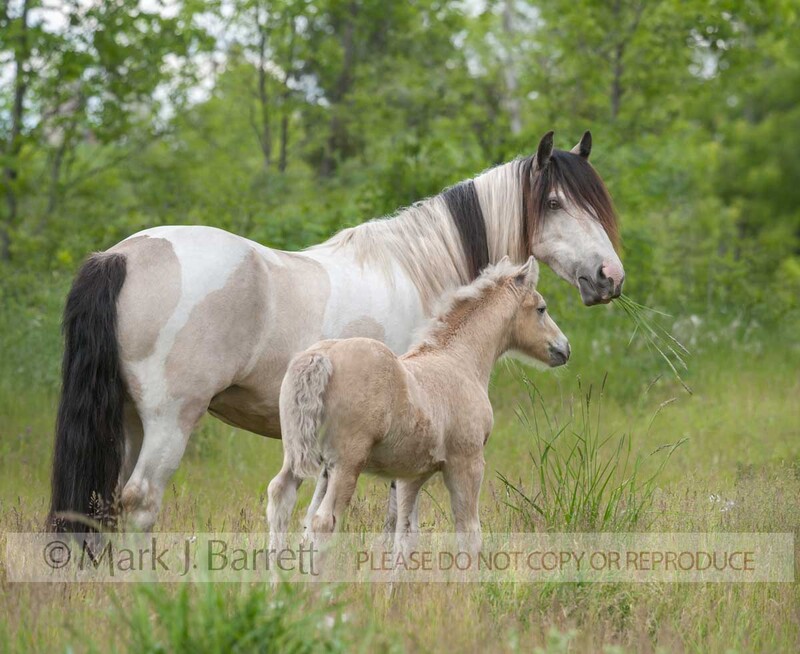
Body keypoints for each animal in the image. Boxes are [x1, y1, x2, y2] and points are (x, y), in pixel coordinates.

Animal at [267, 256, 567, 555]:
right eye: (541, 309)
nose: (564, 349)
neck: (459, 361)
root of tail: (322, 356)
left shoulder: (410, 475)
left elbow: (405, 537)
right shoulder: (467, 462)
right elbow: (469, 533)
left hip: (300, 456)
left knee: (281, 499)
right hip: (346, 462)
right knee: (323, 522)